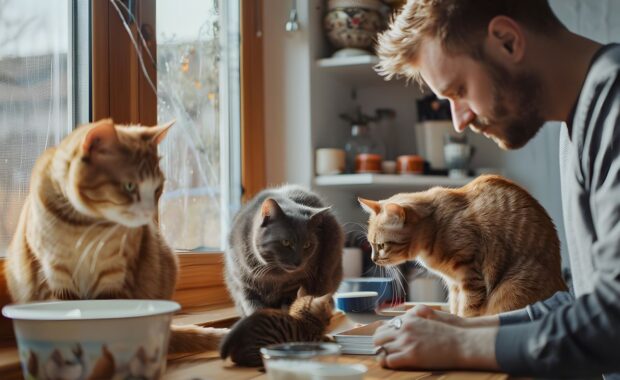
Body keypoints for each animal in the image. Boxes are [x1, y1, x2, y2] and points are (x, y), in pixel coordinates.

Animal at [4, 118, 228, 354]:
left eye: (157, 188)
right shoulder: (55, 274)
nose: (149, 212)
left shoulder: (115, 275)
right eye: (129, 186)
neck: (84, 228)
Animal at [226, 186, 346, 316]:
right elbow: (254, 308)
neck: (274, 277)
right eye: (286, 242)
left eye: (307, 245)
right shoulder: (245, 286)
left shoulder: (295, 287)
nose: (298, 262)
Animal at [358, 175, 568, 318]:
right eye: (371, 245)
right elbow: (455, 308)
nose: (373, 259)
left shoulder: (469, 277)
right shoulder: (454, 285)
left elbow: (468, 311)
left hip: (512, 288)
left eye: (381, 245)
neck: (435, 227)